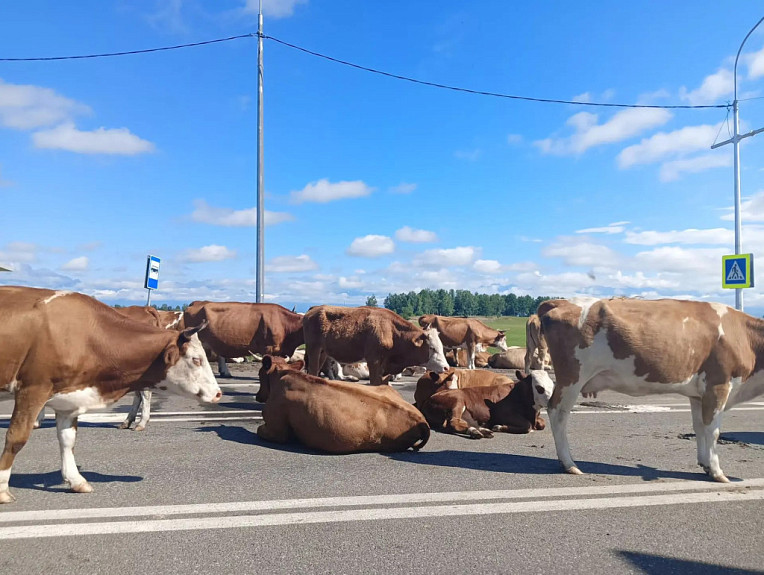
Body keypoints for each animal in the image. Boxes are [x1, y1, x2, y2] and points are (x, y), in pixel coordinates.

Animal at [0, 286, 222, 503]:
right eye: (196, 360)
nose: (218, 393)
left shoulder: (68, 397)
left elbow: (68, 439)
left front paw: (76, 480)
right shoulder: (34, 389)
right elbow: (16, 437)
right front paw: (2, 489)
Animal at [303, 306, 449, 386]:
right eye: (432, 348)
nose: (446, 367)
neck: (391, 331)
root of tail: (314, 309)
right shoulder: (374, 361)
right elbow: (374, 384)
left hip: (323, 352)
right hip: (314, 349)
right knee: (313, 371)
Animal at [417, 370, 550, 439]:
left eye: (552, 385)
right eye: (539, 388)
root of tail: (428, 400)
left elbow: (542, 424)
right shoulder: (502, 413)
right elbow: (527, 426)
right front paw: (499, 427)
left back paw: (483, 430)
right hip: (458, 400)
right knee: (453, 422)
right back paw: (475, 431)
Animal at [536, 297, 764, 483]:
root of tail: (560, 301)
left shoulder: (699, 394)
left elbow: (699, 426)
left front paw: (705, 464)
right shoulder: (718, 385)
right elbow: (713, 431)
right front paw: (718, 473)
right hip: (572, 377)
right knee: (558, 412)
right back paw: (569, 464)